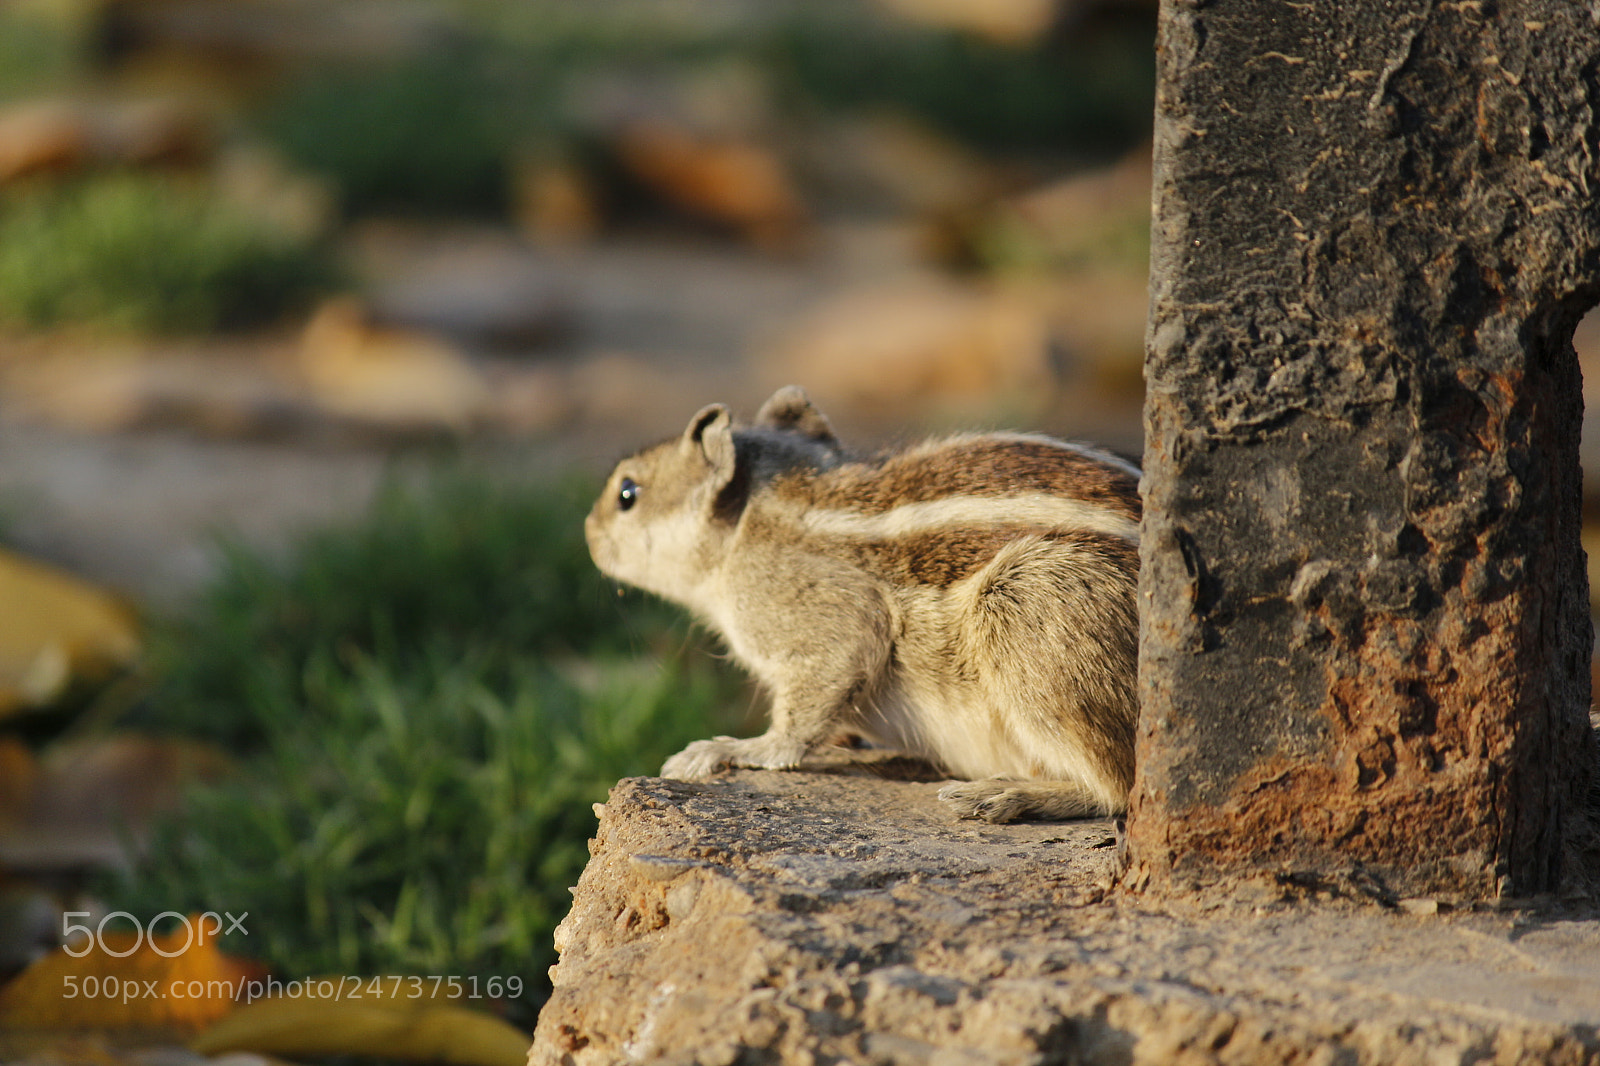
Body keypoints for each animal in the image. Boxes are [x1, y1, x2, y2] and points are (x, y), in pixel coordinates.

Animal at [585, 386, 1140, 823]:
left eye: (627, 494)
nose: (587, 535)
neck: (754, 519)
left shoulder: (823, 616)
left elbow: (803, 715)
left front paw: (735, 748)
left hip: (1029, 603)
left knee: (1115, 787)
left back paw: (1005, 793)